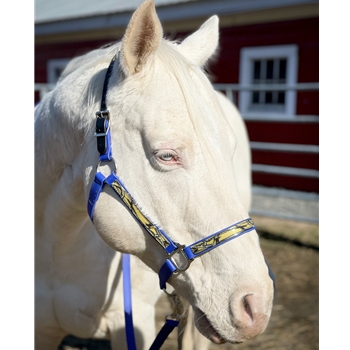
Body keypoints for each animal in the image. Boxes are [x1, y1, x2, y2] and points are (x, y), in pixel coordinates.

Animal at [35, 1, 274, 348]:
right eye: (167, 155)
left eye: (229, 149)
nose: (256, 304)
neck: (57, 252)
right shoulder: (41, 330)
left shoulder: (134, 325)